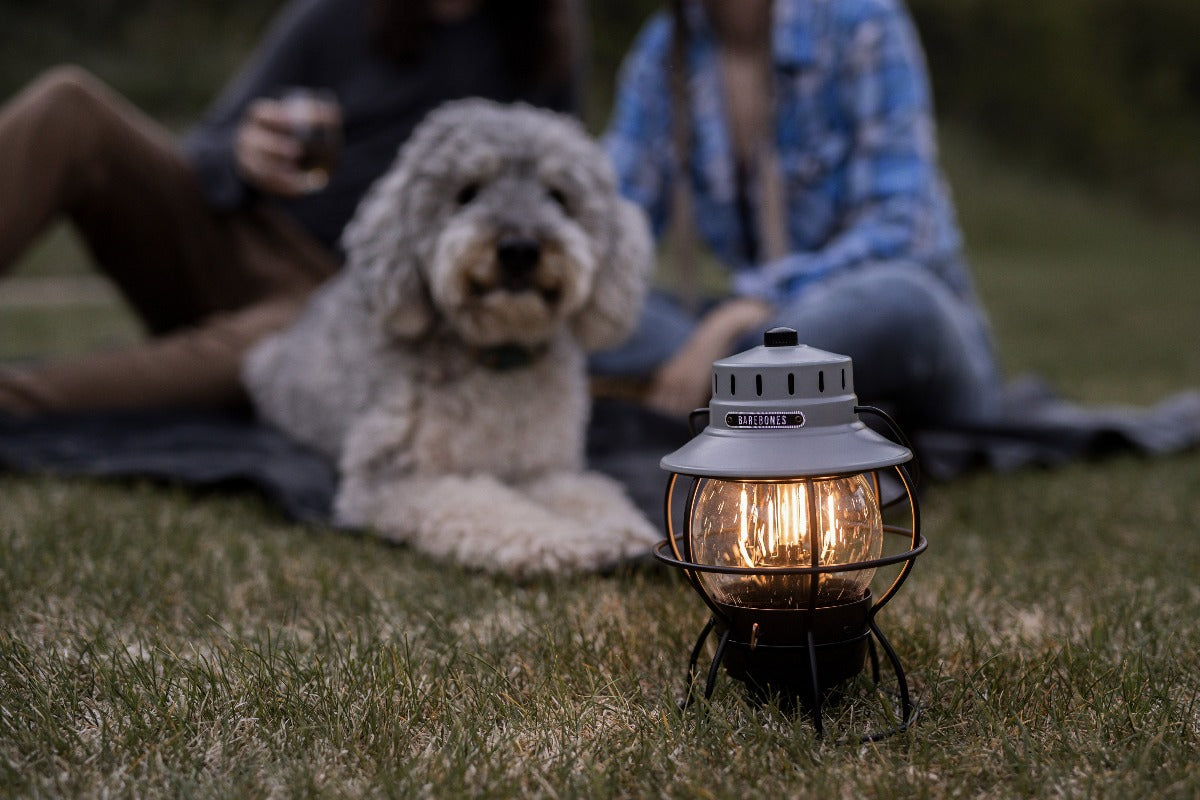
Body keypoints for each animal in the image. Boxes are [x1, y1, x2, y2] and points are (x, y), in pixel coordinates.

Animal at [241, 100, 657, 575]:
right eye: (467, 193)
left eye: (557, 196)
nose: (519, 249)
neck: (496, 358)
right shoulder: (394, 478)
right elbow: (484, 504)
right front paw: (559, 541)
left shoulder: (543, 468)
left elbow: (590, 492)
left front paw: (619, 530)